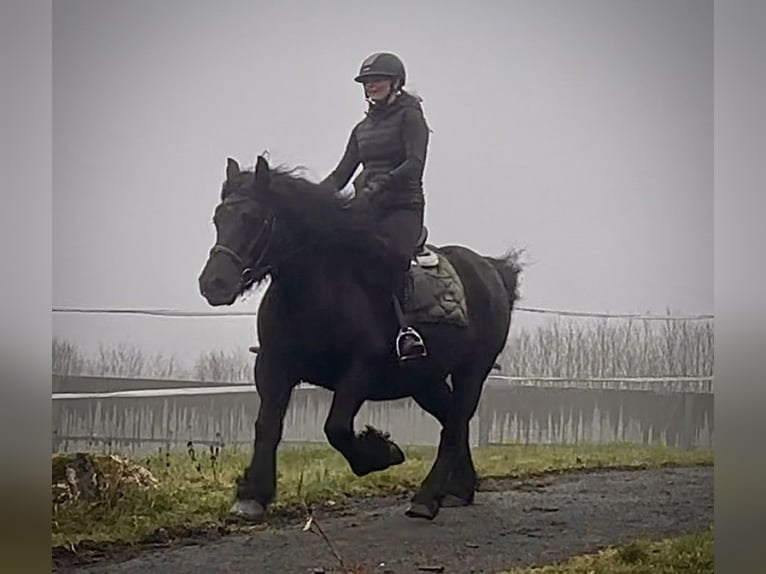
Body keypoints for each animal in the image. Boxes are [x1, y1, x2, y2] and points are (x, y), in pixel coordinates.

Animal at [198, 154, 522, 521]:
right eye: (218, 217)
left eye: (254, 218)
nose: (213, 284)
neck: (316, 292)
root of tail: (492, 270)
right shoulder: (273, 365)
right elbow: (267, 426)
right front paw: (251, 496)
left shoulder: (359, 370)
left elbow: (336, 427)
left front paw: (382, 452)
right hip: (425, 380)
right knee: (454, 419)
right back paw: (458, 490)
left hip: (472, 371)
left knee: (454, 424)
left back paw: (427, 497)